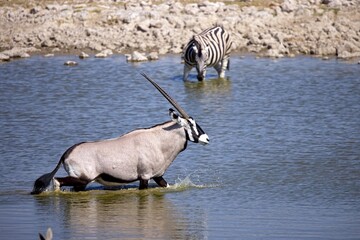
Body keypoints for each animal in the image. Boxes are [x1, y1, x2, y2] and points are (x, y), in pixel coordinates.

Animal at [33, 73, 211, 195]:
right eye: (191, 124)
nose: (206, 139)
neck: (158, 141)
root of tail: (66, 153)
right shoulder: (145, 176)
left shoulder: (158, 177)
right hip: (83, 178)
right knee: (57, 181)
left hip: (81, 182)